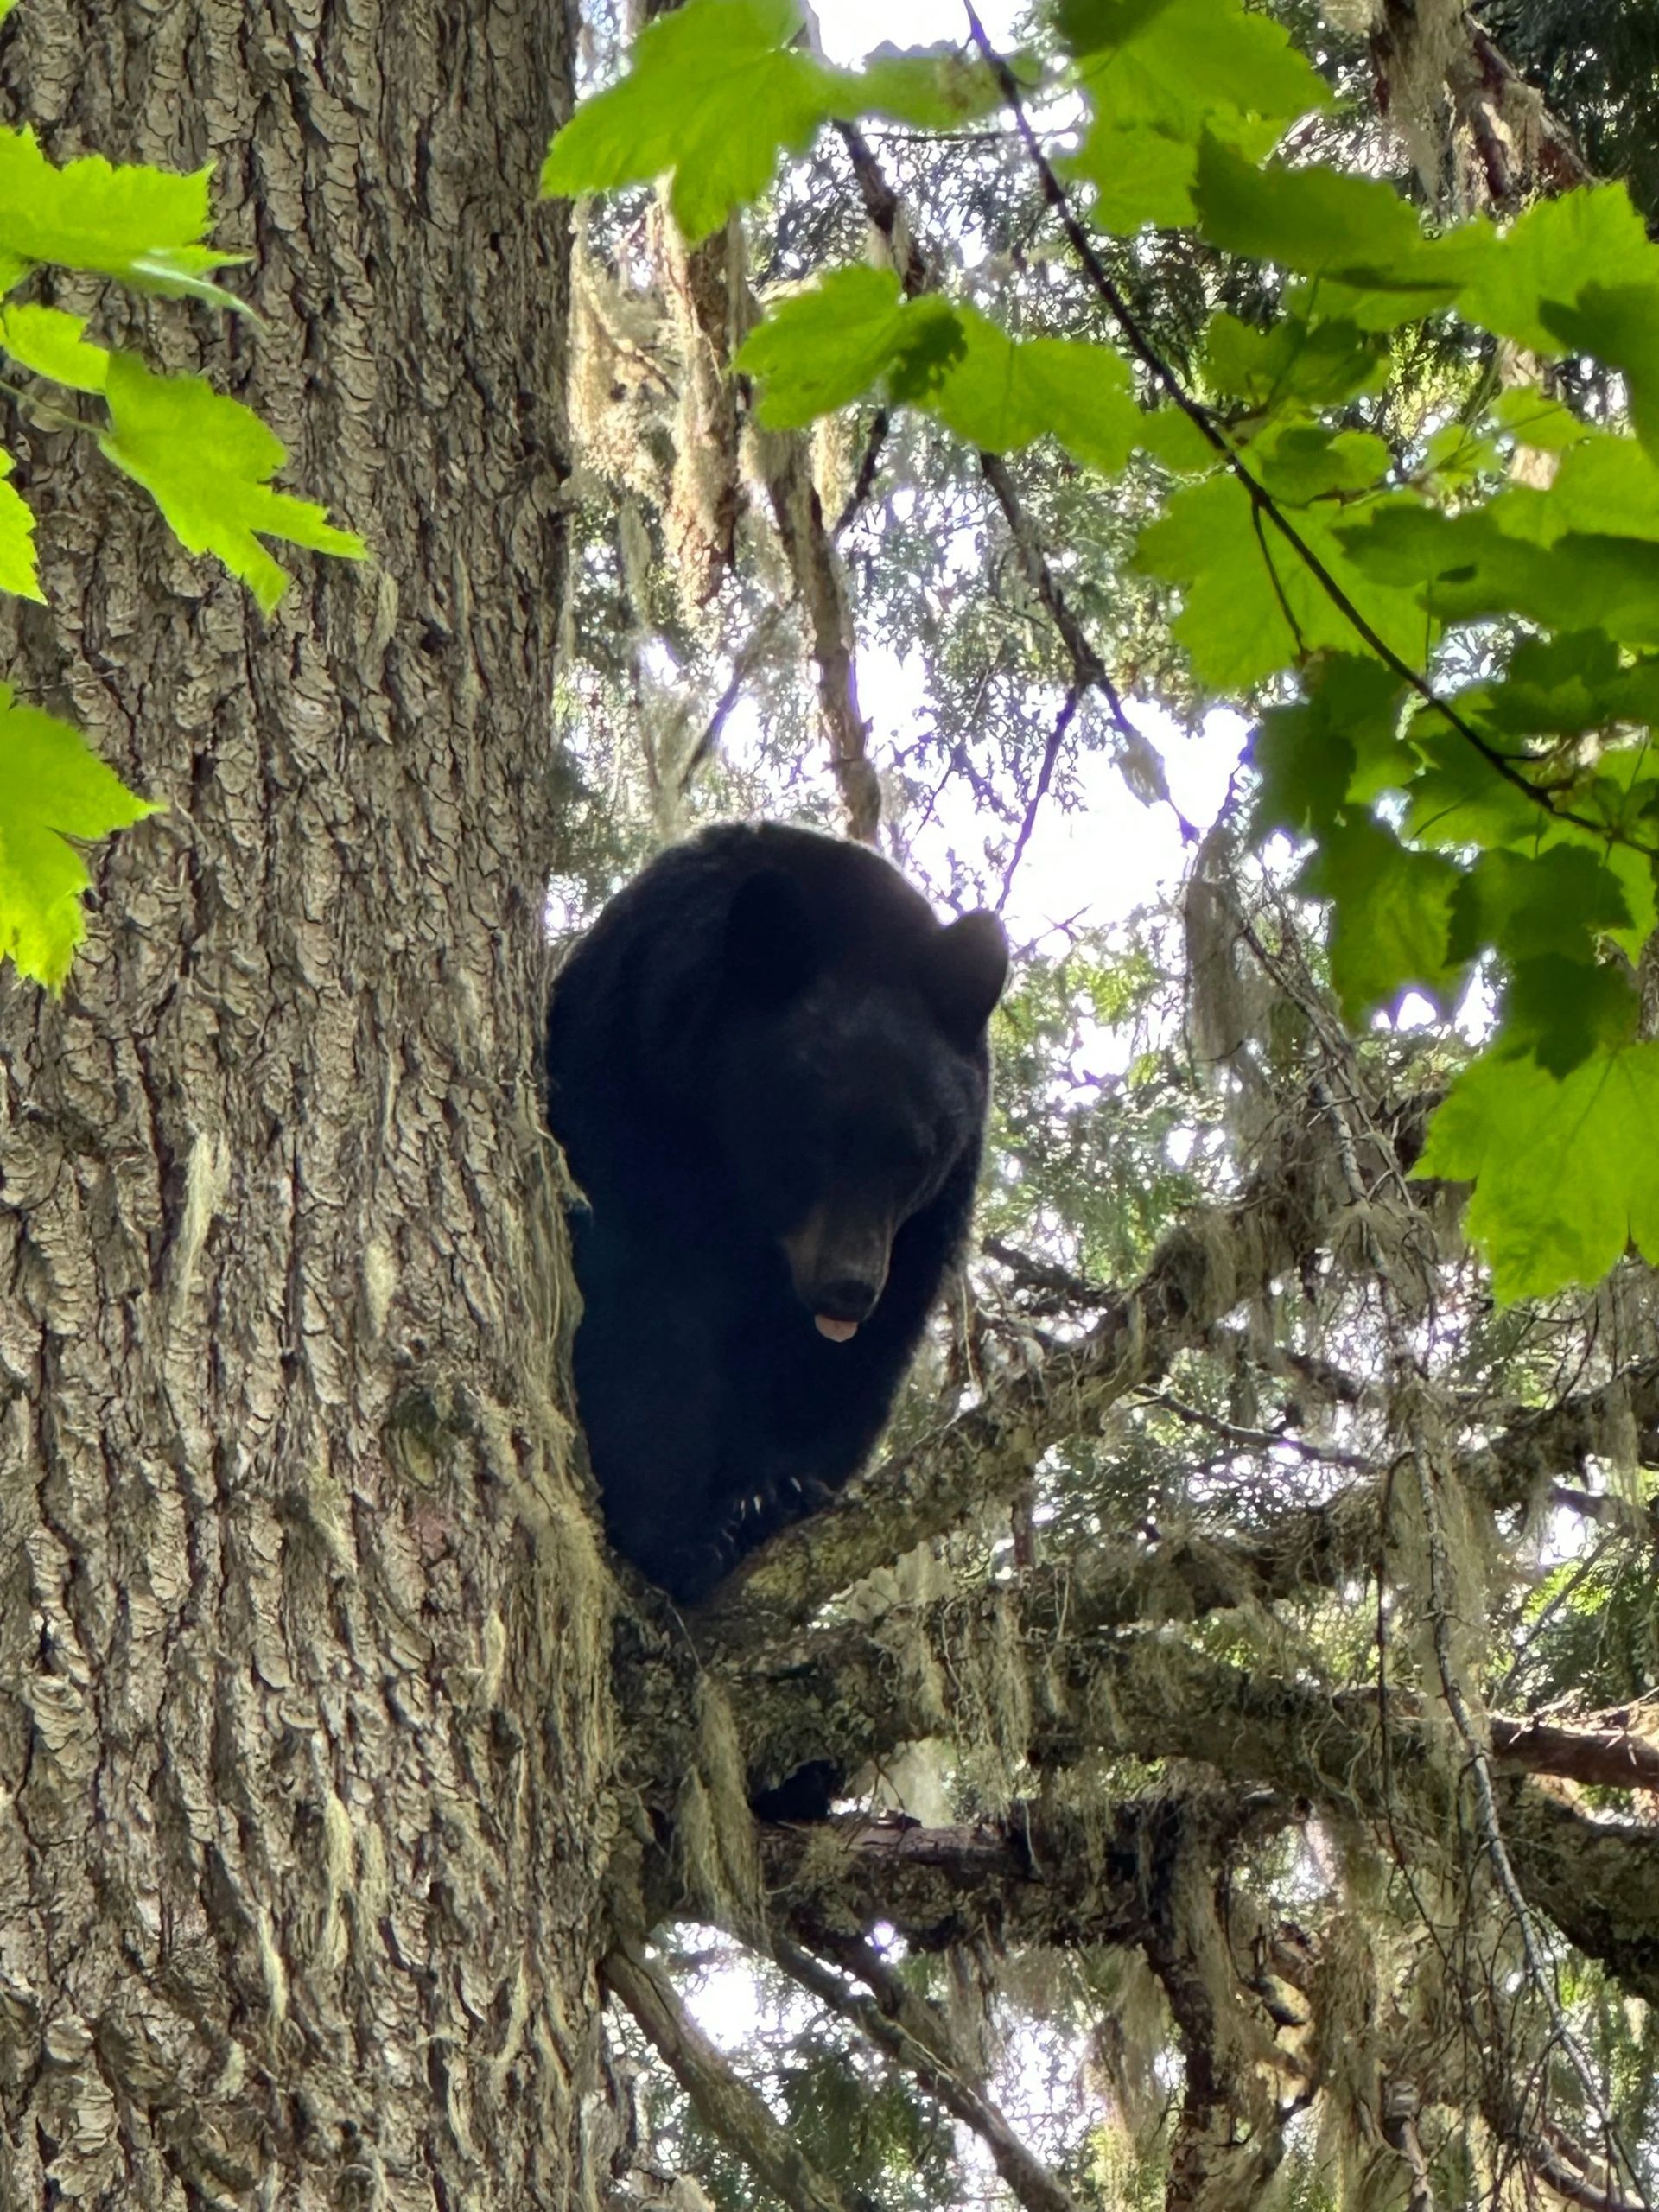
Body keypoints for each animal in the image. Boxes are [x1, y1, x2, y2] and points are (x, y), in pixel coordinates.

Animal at [543, 822, 1009, 1603]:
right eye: (815, 1136)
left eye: (915, 1154)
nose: (848, 1288)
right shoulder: (626, 1083)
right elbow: (641, 1306)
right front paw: (674, 1534)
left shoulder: (928, 1217)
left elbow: (857, 1354)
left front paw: (778, 1489)